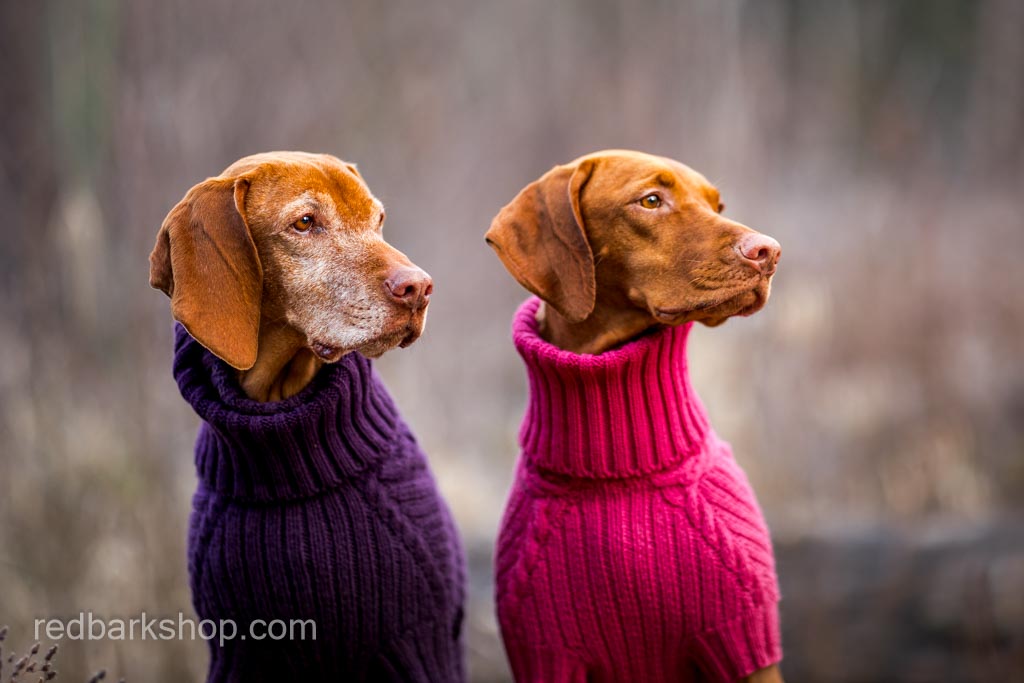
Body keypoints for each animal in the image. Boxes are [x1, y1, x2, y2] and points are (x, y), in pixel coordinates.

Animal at [487, 149, 782, 683]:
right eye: (650, 200)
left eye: (717, 204)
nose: (769, 252)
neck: (618, 465)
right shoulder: (546, 654)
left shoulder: (744, 639)